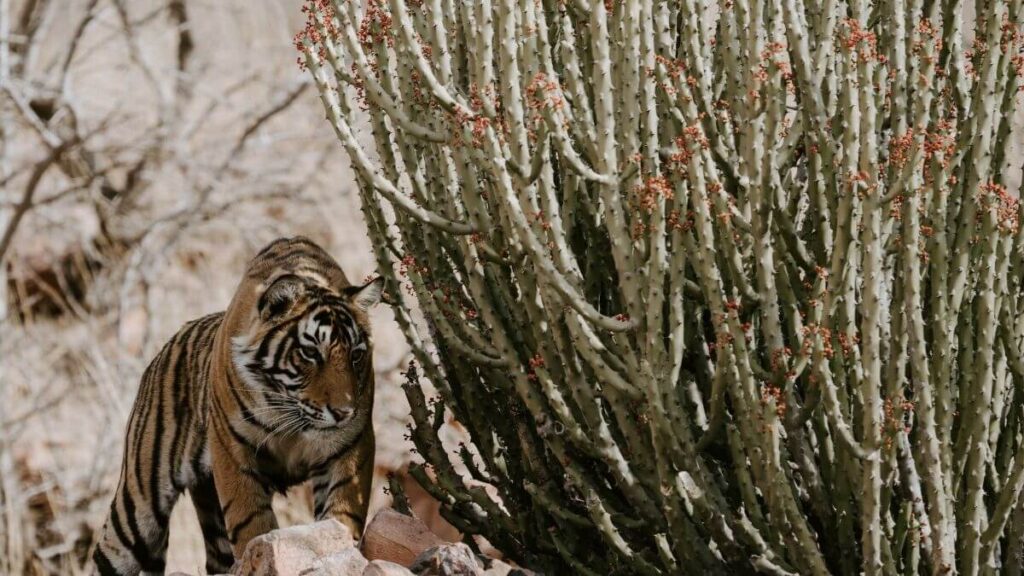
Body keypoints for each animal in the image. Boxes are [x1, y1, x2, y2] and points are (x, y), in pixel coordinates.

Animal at [93, 235, 385, 569]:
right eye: (311, 353)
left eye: (356, 355)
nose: (343, 412)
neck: (289, 411)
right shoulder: (231, 450)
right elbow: (251, 522)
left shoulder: (352, 446)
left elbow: (342, 515)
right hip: (138, 506)